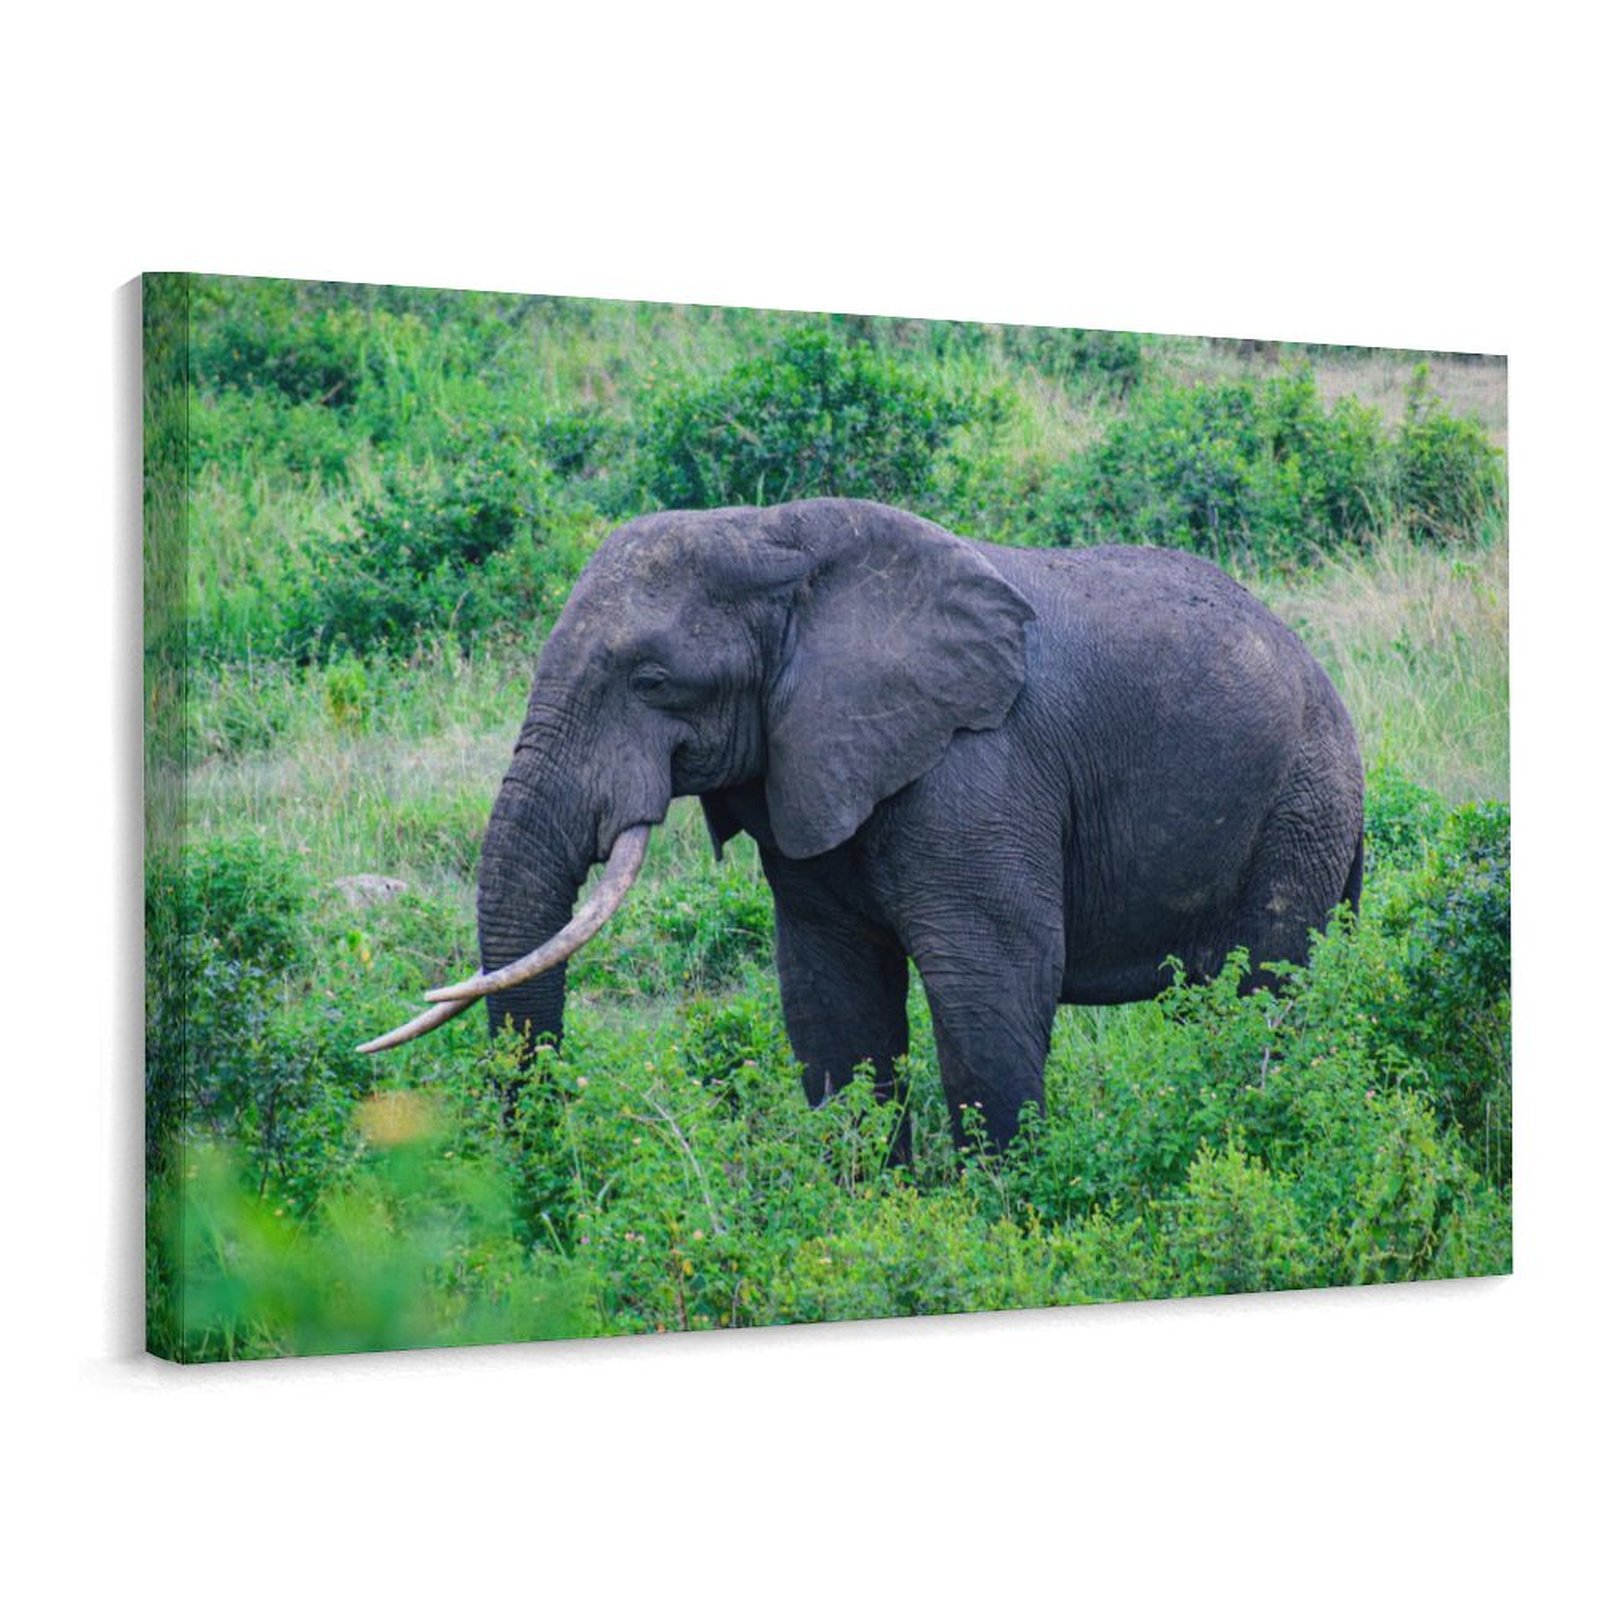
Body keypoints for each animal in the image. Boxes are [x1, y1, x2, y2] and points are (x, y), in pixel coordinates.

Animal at [360, 497, 1364, 1155]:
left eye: (652, 681)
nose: (542, 1184)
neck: (774, 536)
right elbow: (831, 997)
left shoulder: (978, 771)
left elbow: (992, 986)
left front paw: (1002, 1225)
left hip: (1300, 804)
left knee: (1266, 992)